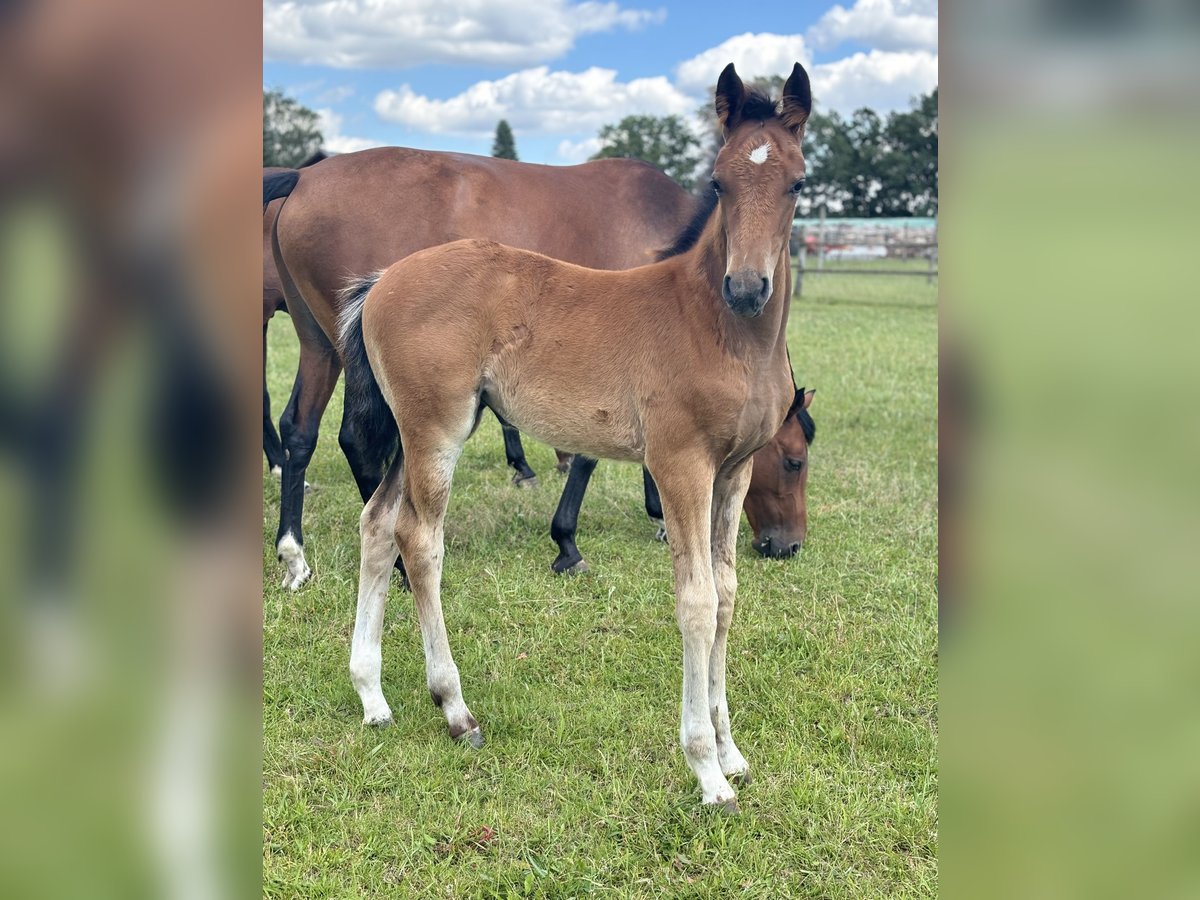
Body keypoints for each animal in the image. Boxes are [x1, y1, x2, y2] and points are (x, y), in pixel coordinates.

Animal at [333, 61, 811, 811]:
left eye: (796, 183)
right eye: (719, 183)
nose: (747, 287)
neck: (721, 328)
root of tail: (381, 280)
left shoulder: (732, 471)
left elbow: (730, 593)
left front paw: (733, 753)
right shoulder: (681, 465)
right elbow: (698, 601)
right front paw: (706, 770)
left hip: (420, 433)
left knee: (378, 524)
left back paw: (373, 696)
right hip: (436, 429)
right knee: (420, 538)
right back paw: (455, 708)